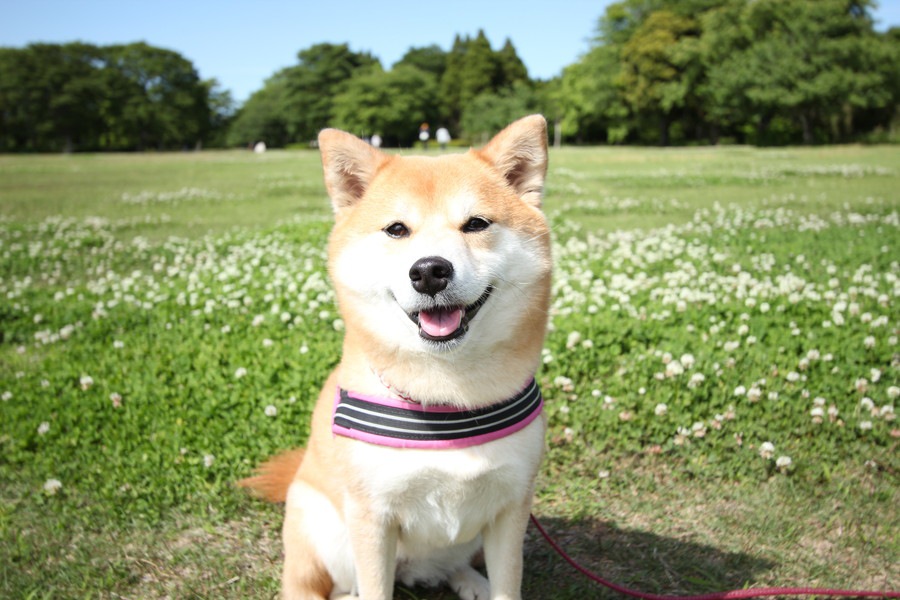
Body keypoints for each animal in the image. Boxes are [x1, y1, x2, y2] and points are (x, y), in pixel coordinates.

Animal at [243, 115, 556, 596]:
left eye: (476, 224)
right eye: (396, 229)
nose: (429, 270)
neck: (446, 398)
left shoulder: (511, 508)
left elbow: (508, 585)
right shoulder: (372, 517)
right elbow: (375, 589)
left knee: (452, 565)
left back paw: (469, 580)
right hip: (320, 528)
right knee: (317, 586)